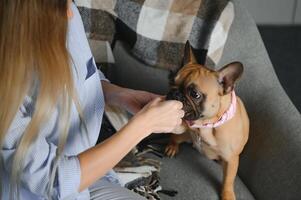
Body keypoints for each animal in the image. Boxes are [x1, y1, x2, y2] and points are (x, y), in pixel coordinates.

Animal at [164, 41, 248, 199]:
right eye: (171, 80)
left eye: (194, 94)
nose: (175, 93)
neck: (206, 125)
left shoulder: (231, 159)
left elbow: (228, 180)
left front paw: (227, 194)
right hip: (183, 135)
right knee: (175, 138)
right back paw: (172, 146)